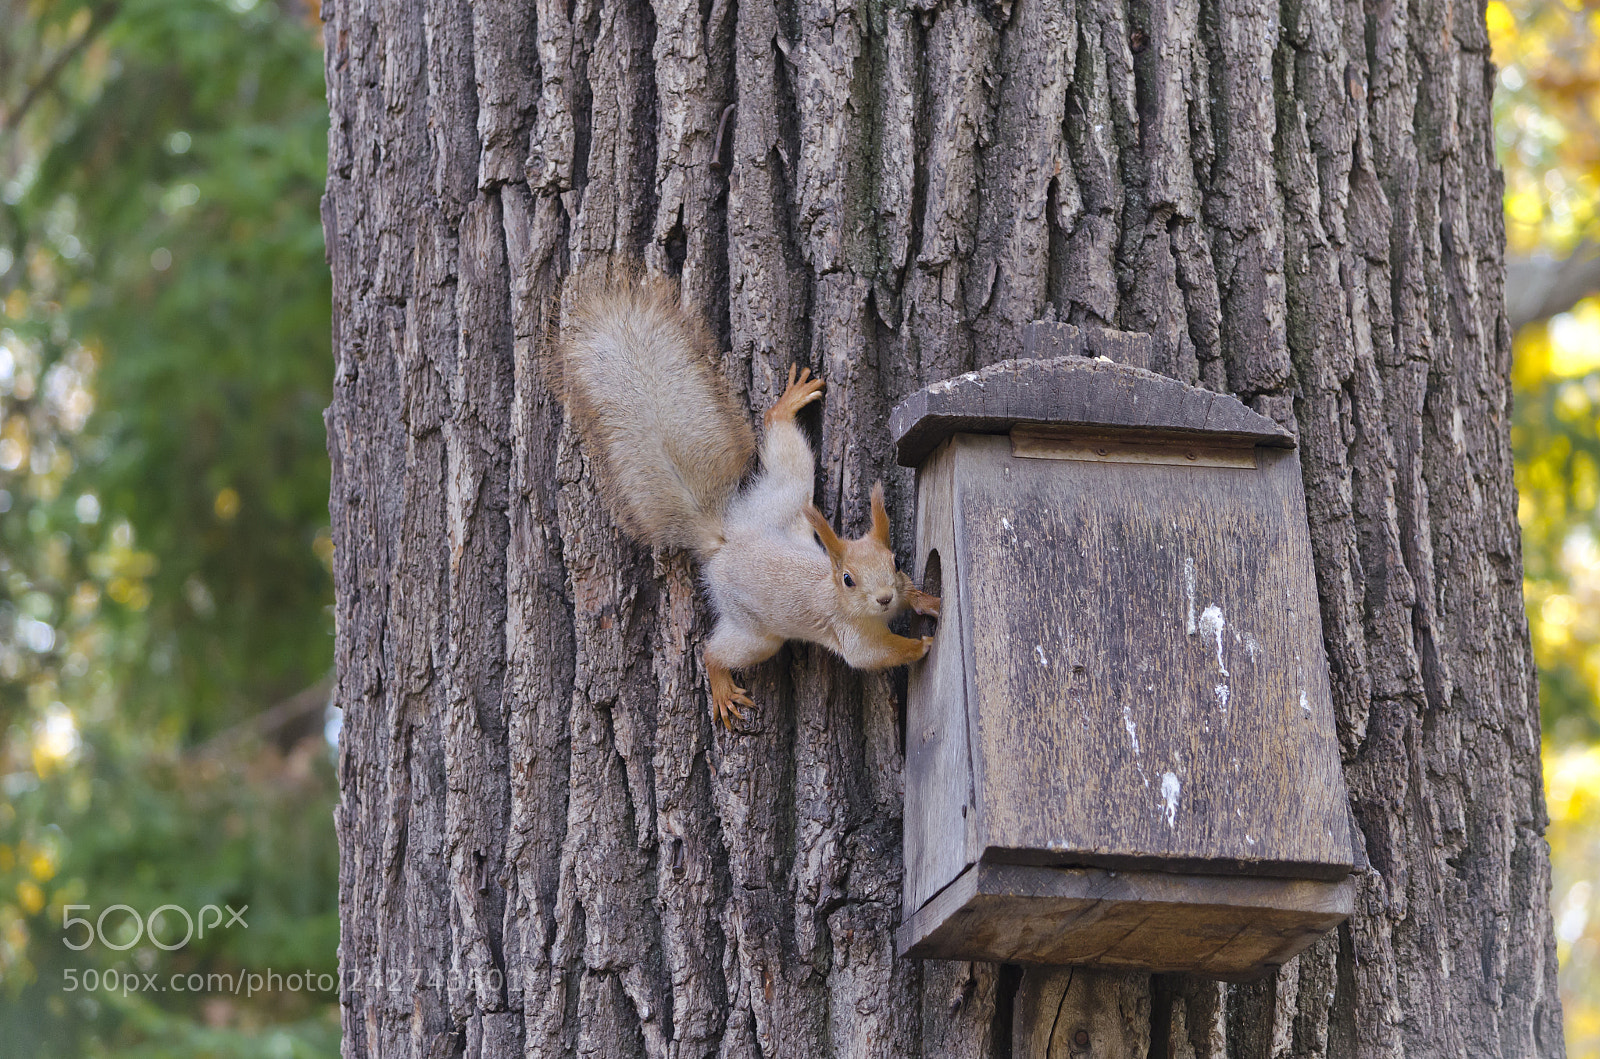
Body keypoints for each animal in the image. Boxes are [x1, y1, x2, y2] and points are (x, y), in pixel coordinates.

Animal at [556, 272, 941, 729]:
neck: (835, 592)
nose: (884, 598)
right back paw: (722, 686)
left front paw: (927, 600)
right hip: (754, 631)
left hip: (782, 500)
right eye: (848, 579)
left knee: (787, 457)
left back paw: (787, 404)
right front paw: (919, 647)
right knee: (714, 652)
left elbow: (911, 591)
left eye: (895, 562)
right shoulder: (851, 635)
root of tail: (727, 541)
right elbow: (873, 656)